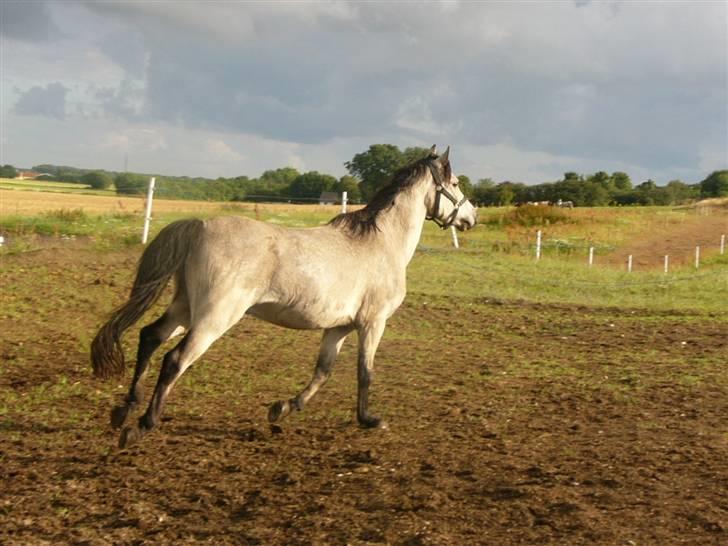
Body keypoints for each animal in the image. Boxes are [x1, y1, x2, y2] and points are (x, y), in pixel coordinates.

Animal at [91, 144, 478, 446]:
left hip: (186, 308)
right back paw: (142, 425)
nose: (472, 217)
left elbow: (323, 371)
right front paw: (369, 419)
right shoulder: (373, 322)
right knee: (174, 359)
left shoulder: (338, 327)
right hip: (215, 317)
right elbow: (364, 371)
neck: (381, 243)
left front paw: (282, 409)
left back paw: (124, 409)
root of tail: (199, 226)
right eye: (455, 184)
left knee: (149, 336)